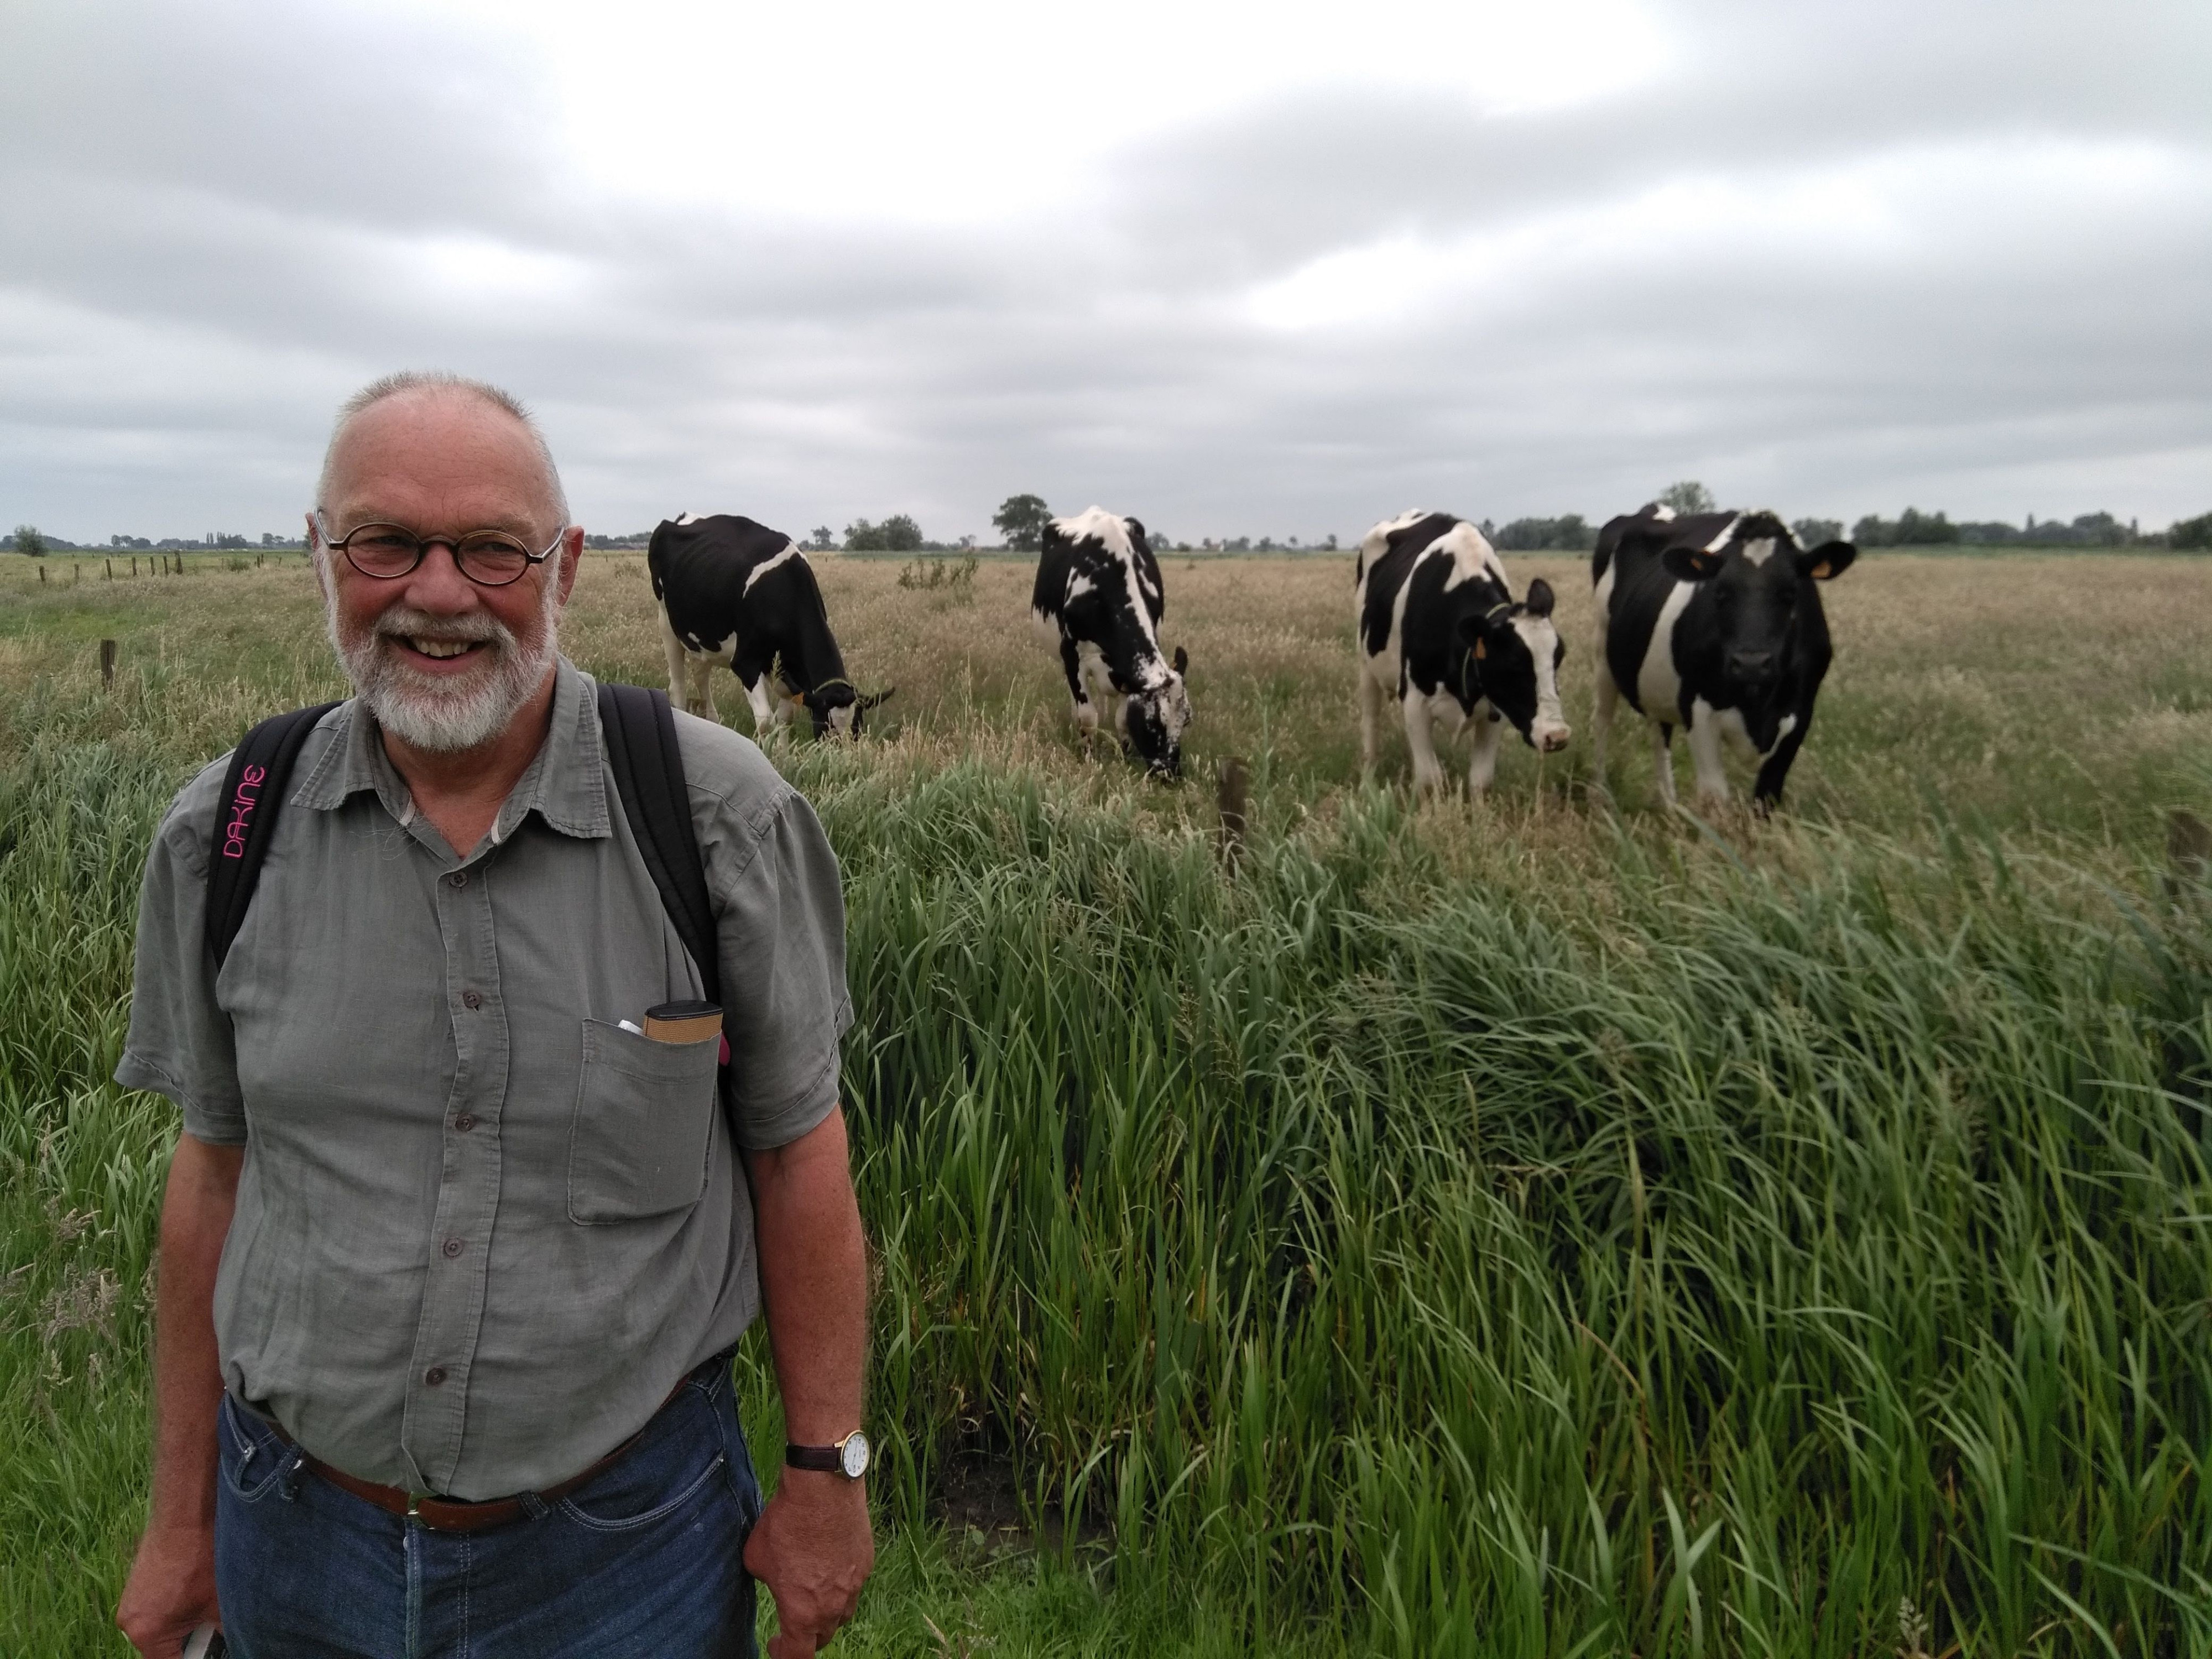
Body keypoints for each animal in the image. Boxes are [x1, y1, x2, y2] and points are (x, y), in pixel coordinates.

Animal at [646, 511, 889, 739]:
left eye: (857, 729)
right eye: (825, 729)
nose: (840, 756)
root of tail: (683, 518)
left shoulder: (789, 669)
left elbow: (785, 718)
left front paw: (782, 753)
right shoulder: (746, 663)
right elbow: (765, 722)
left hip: (706, 637)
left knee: (700, 674)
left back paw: (714, 722)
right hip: (666, 623)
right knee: (677, 686)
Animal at [1031, 507, 1194, 779]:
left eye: (1186, 720)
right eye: (1153, 723)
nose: (1170, 774)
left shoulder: (1125, 674)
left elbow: (1122, 719)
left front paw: (1125, 756)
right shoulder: (1072, 656)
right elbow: (1087, 717)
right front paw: (1088, 756)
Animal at [1345, 511, 1575, 796]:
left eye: (1559, 657)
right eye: (1512, 664)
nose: (1557, 736)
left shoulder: (1496, 707)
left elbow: (1481, 781)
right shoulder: (1414, 702)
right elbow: (1430, 779)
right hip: (1365, 664)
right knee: (1371, 725)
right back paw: (1367, 782)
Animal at [1601, 507, 1858, 818]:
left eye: (1791, 593)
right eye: (1720, 593)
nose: (1751, 664)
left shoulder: (1800, 716)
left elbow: (1766, 799)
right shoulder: (1697, 712)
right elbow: (1715, 802)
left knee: (1659, 735)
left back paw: (1670, 807)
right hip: (1601, 658)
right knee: (1602, 723)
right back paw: (1598, 794)